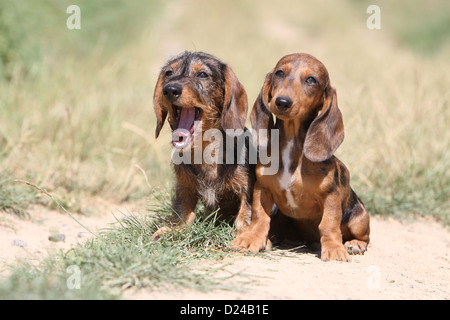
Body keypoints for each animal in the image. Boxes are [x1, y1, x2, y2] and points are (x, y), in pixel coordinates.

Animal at [151, 50, 255, 240]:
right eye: (169, 73)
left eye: (203, 74)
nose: (170, 90)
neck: (206, 149)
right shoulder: (184, 187)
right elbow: (183, 211)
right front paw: (172, 229)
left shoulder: (248, 187)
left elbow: (246, 214)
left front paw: (246, 233)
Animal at [230, 52, 370, 262]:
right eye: (279, 73)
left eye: (311, 80)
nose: (282, 102)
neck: (291, 145)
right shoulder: (262, 189)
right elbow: (259, 217)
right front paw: (251, 238)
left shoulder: (330, 196)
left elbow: (329, 224)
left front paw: (334, 248)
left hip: (360, 217)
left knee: (364, 237)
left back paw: (354, 244)